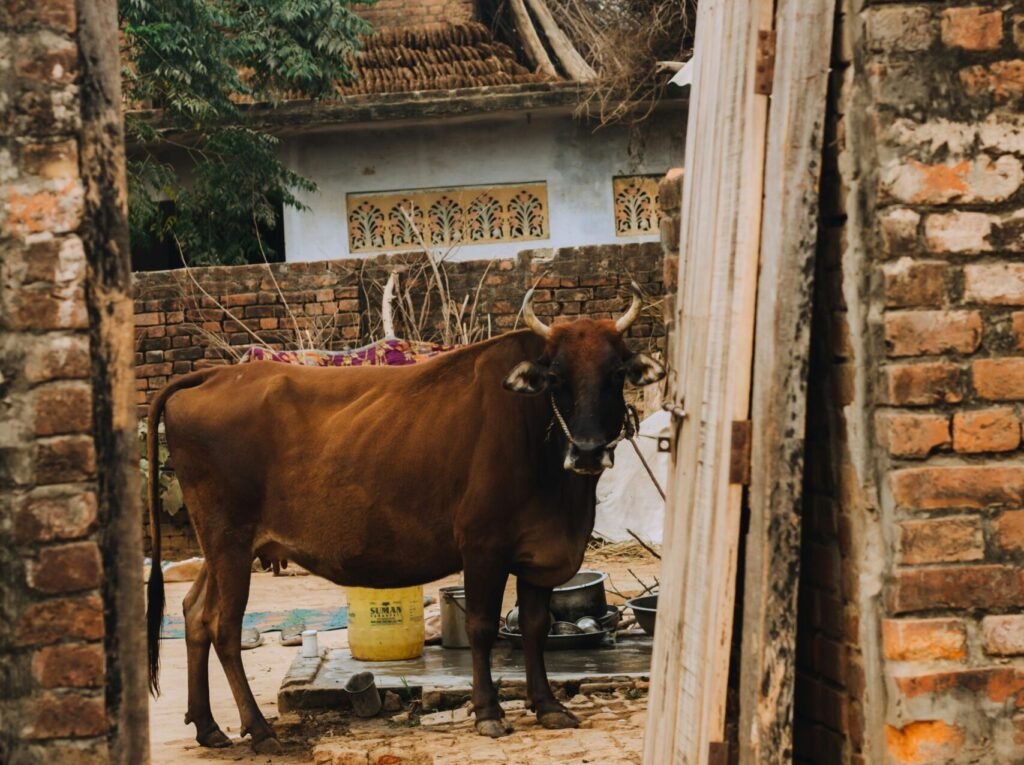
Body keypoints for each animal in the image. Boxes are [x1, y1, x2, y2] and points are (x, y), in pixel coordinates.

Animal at [148, 284, 667, 749]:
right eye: (557, 376)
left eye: (616, 372)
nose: (588, 450)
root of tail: (213, 376)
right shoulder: (482, 547)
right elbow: (482, 627)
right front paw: (488, 712)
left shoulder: (540, 554)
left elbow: (535, 628)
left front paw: (548, 706)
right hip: (229, 542)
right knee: (224, 628)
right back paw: (257, 729)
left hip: (224, 549)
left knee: (194, 613)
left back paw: (209, 727)